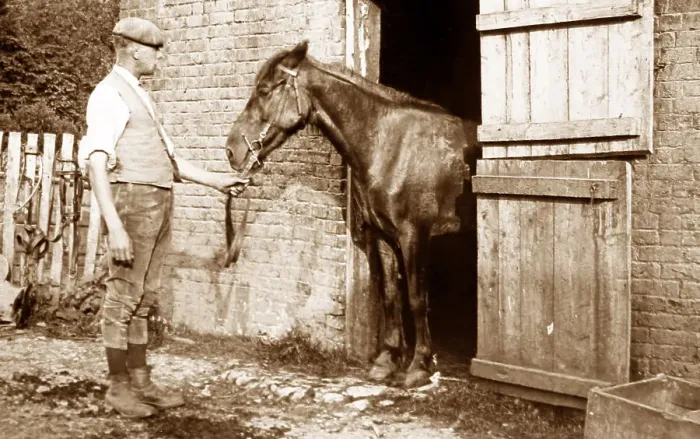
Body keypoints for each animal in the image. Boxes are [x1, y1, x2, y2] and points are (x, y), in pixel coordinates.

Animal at [225, 40, 477, 388]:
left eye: (264, 91)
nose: (231, 150)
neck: (390, 146)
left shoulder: (414, 236)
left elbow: (416, 298)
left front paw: (418, 366)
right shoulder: (383, 236)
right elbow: (390, 296)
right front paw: (386, 361)